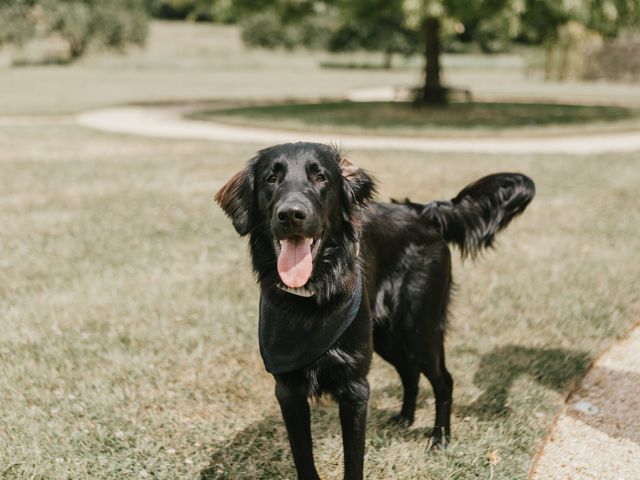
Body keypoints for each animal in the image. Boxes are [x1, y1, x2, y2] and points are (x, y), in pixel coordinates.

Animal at [215, 141, 536, 478]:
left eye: (321, 177)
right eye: (271, 178)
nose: (291, 215)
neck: (314, 296)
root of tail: (422, 212)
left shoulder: (356, 389)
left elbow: (354, 460)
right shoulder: (288, 392)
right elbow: (303, 458)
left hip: (419, 329)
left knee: (443, 381)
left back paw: (439, 438)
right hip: (385, 336)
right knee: (410, 372)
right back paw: (405, 418)